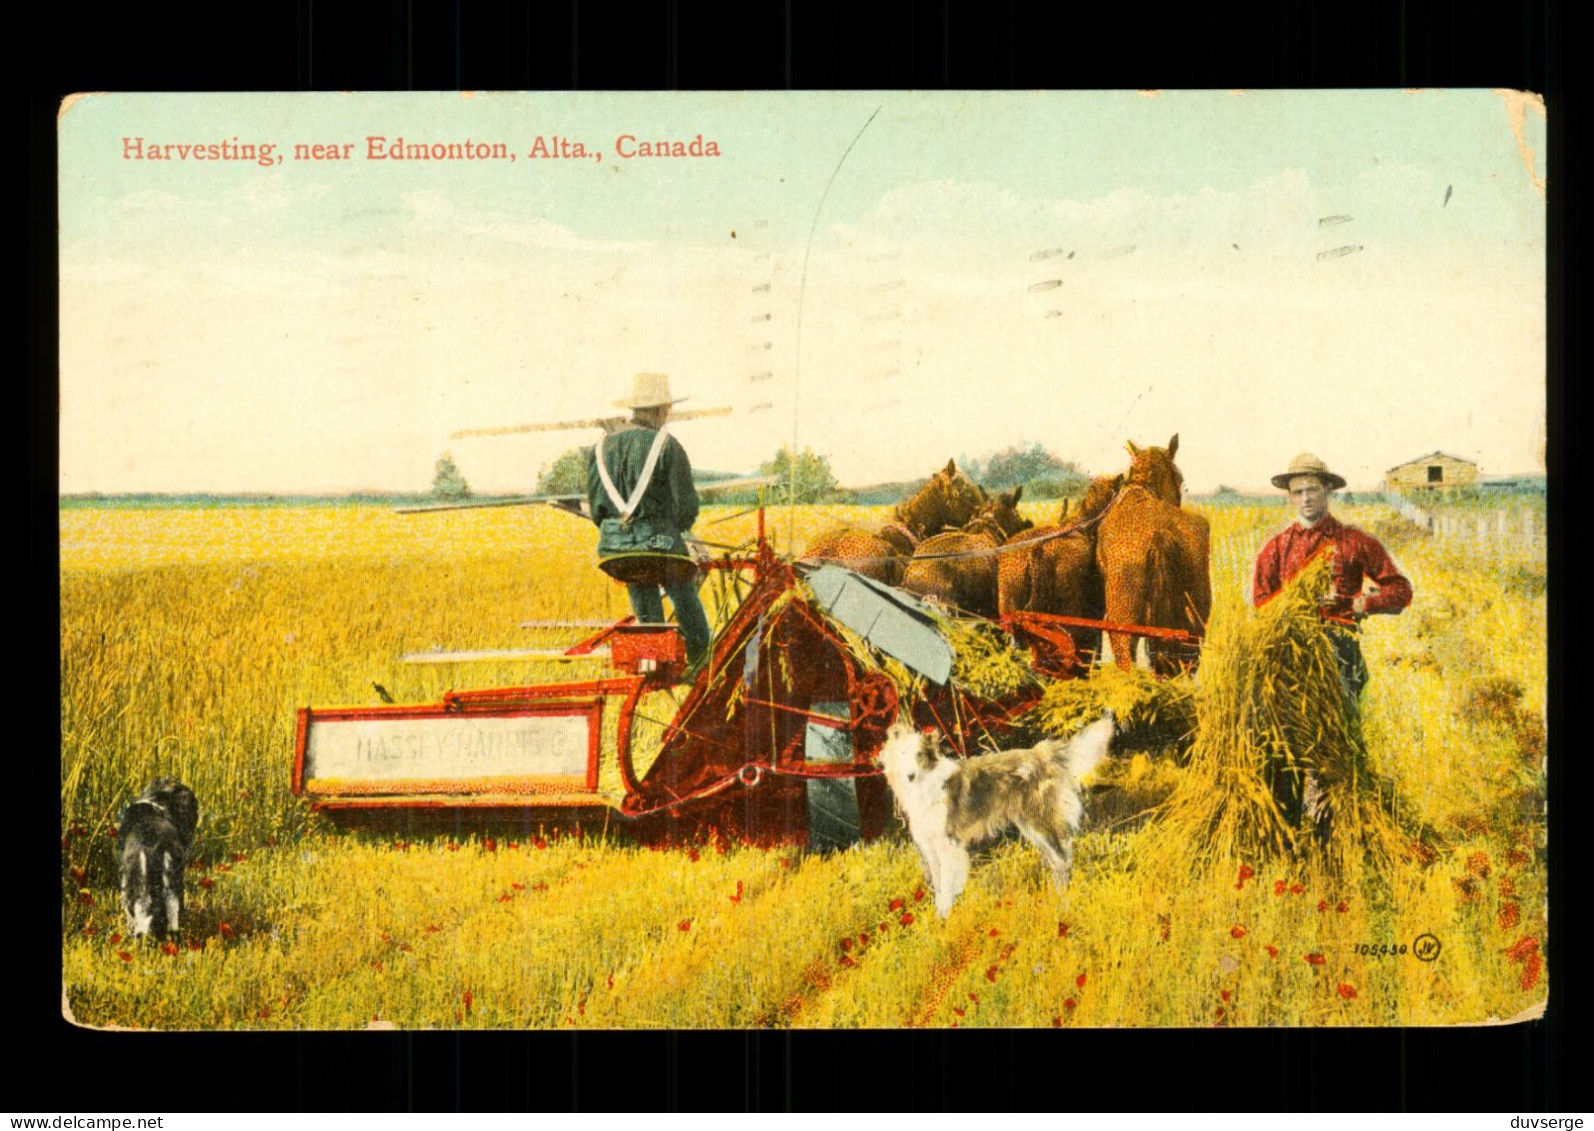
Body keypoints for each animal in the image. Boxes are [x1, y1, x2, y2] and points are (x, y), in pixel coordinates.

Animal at [879, 716, 1115, 923]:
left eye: (920, 755)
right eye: (903, 753)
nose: (910, 776)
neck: (926, 785)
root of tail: (1041, 753)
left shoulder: (948, 846)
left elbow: (946, 889)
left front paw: (943, 921)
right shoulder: (931, 849)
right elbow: (938, 888)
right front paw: (938, 920)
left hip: (1039, 822)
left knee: (1063, 860)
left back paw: (1062, 905)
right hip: (1031, 827)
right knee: (1057, 860)